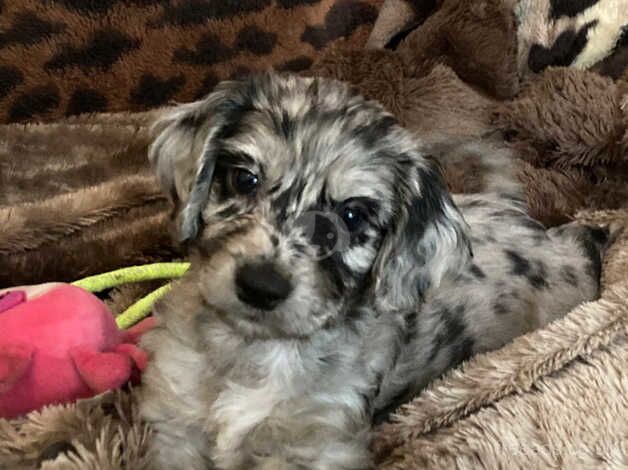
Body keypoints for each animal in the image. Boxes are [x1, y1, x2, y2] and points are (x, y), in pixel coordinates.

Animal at [139, 73, 608, 470]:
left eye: (351, 216)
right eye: (244, 179)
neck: (253, 354)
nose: (260, 287)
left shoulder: (318, 446)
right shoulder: (175, 425)